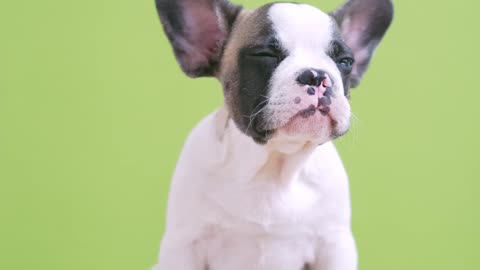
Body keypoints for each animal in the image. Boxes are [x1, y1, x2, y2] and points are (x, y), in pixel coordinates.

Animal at [154, 0, 394, 270]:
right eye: (265, 55)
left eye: (345, 61)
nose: (316, 75)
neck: (274, 165)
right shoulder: (185, 244)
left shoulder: (334, 244)